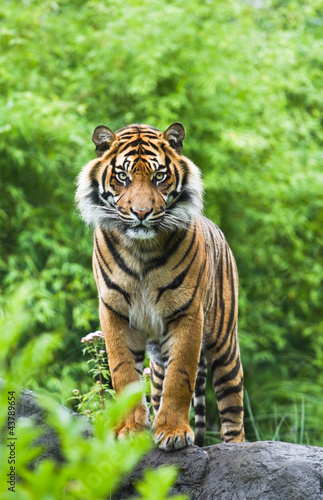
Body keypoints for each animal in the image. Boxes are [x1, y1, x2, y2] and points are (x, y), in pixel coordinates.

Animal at [76, 121, 246, 450]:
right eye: (122, 177)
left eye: (159, 176)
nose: (141, 213)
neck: (141, 250)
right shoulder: (114, 313)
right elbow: (124, 375)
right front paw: (130, 430)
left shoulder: (187, 314)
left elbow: (180, 378)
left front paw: (173, 431)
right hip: (156, 363)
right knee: (156, 389)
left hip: (225, 347)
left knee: (233, 412)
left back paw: (236, 448)